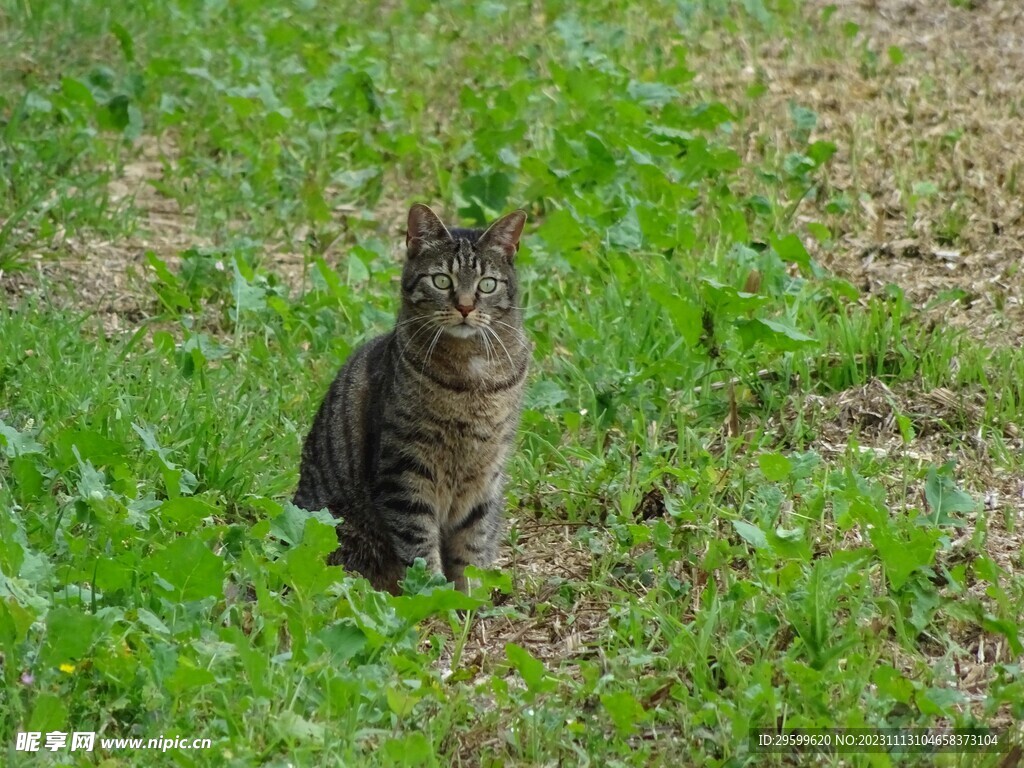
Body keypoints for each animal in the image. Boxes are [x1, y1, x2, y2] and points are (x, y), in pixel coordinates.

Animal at [288, 202, 528, 593]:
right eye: (441, 280)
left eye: (487, 284)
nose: (465, 307)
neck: (471, 375)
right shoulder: (405, 471)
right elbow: (420, 550)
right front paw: (434, 595)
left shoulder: (485, 480)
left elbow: (472, 552)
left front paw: (470, 600)